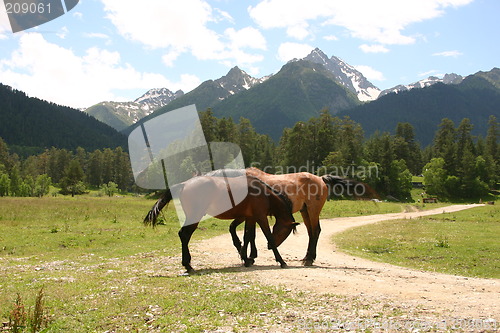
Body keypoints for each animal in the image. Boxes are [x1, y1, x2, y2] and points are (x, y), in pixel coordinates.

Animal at [144, 171, 296, 272]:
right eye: (285, 231)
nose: (269, 247)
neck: (263, 193)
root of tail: (184, 184)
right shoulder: (260, 217)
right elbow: (268, 236)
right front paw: (281, 261)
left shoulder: (250, 218)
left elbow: (247, 237)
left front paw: (246, 258)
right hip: (195, 216)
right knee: (184, 235)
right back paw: (188, 264)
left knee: (183, 235)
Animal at [226, 167, 376, 266]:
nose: (269, 246)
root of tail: (321, 179)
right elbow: (248, 234)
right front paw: (250, 255)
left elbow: (249, 235)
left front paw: (249, 256)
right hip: (305, 211)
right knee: (311, 232)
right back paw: (307, 257)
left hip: (313, 210)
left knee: (315, 231)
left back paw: (309, 259)